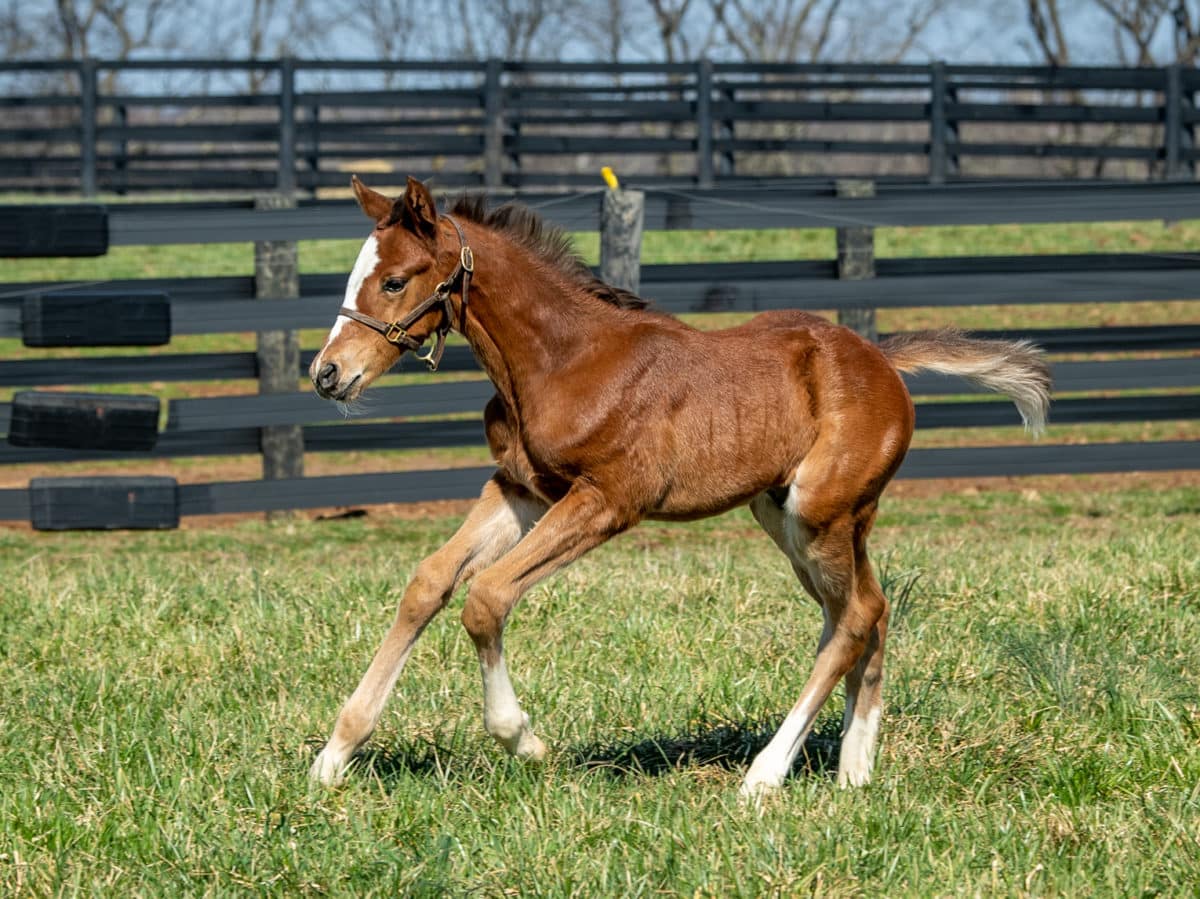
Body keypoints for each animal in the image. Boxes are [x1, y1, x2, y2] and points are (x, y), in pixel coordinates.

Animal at [309, 178, 1051, 796]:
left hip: (821, 513)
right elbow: (429, 583)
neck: (561, 360)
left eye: (396, 281)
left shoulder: (607, 500)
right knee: (865, 610)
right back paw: (854, 768)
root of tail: (882, 358)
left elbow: (487, 597)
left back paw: (765, 775)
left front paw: (524, 740)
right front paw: (334, 755)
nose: (327, 373)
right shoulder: (520, 489)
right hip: (788, 516)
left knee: (855, 616)